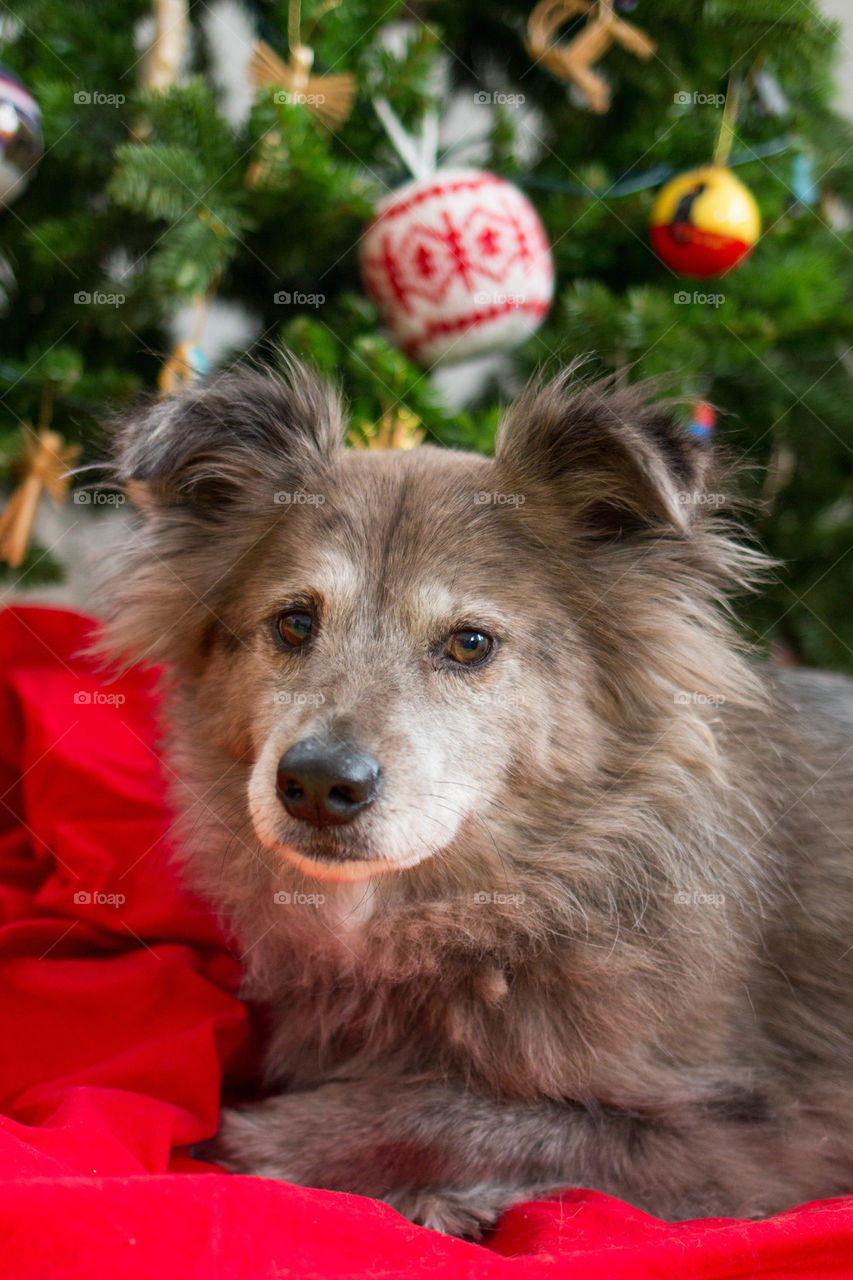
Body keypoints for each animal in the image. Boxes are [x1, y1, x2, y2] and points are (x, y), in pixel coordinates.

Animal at [97, 360, 850, 1239]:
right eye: (292, 624)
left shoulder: (759, 1137)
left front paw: (289, 1142)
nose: (317, 783)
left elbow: (496, 1113)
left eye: (470, 644)